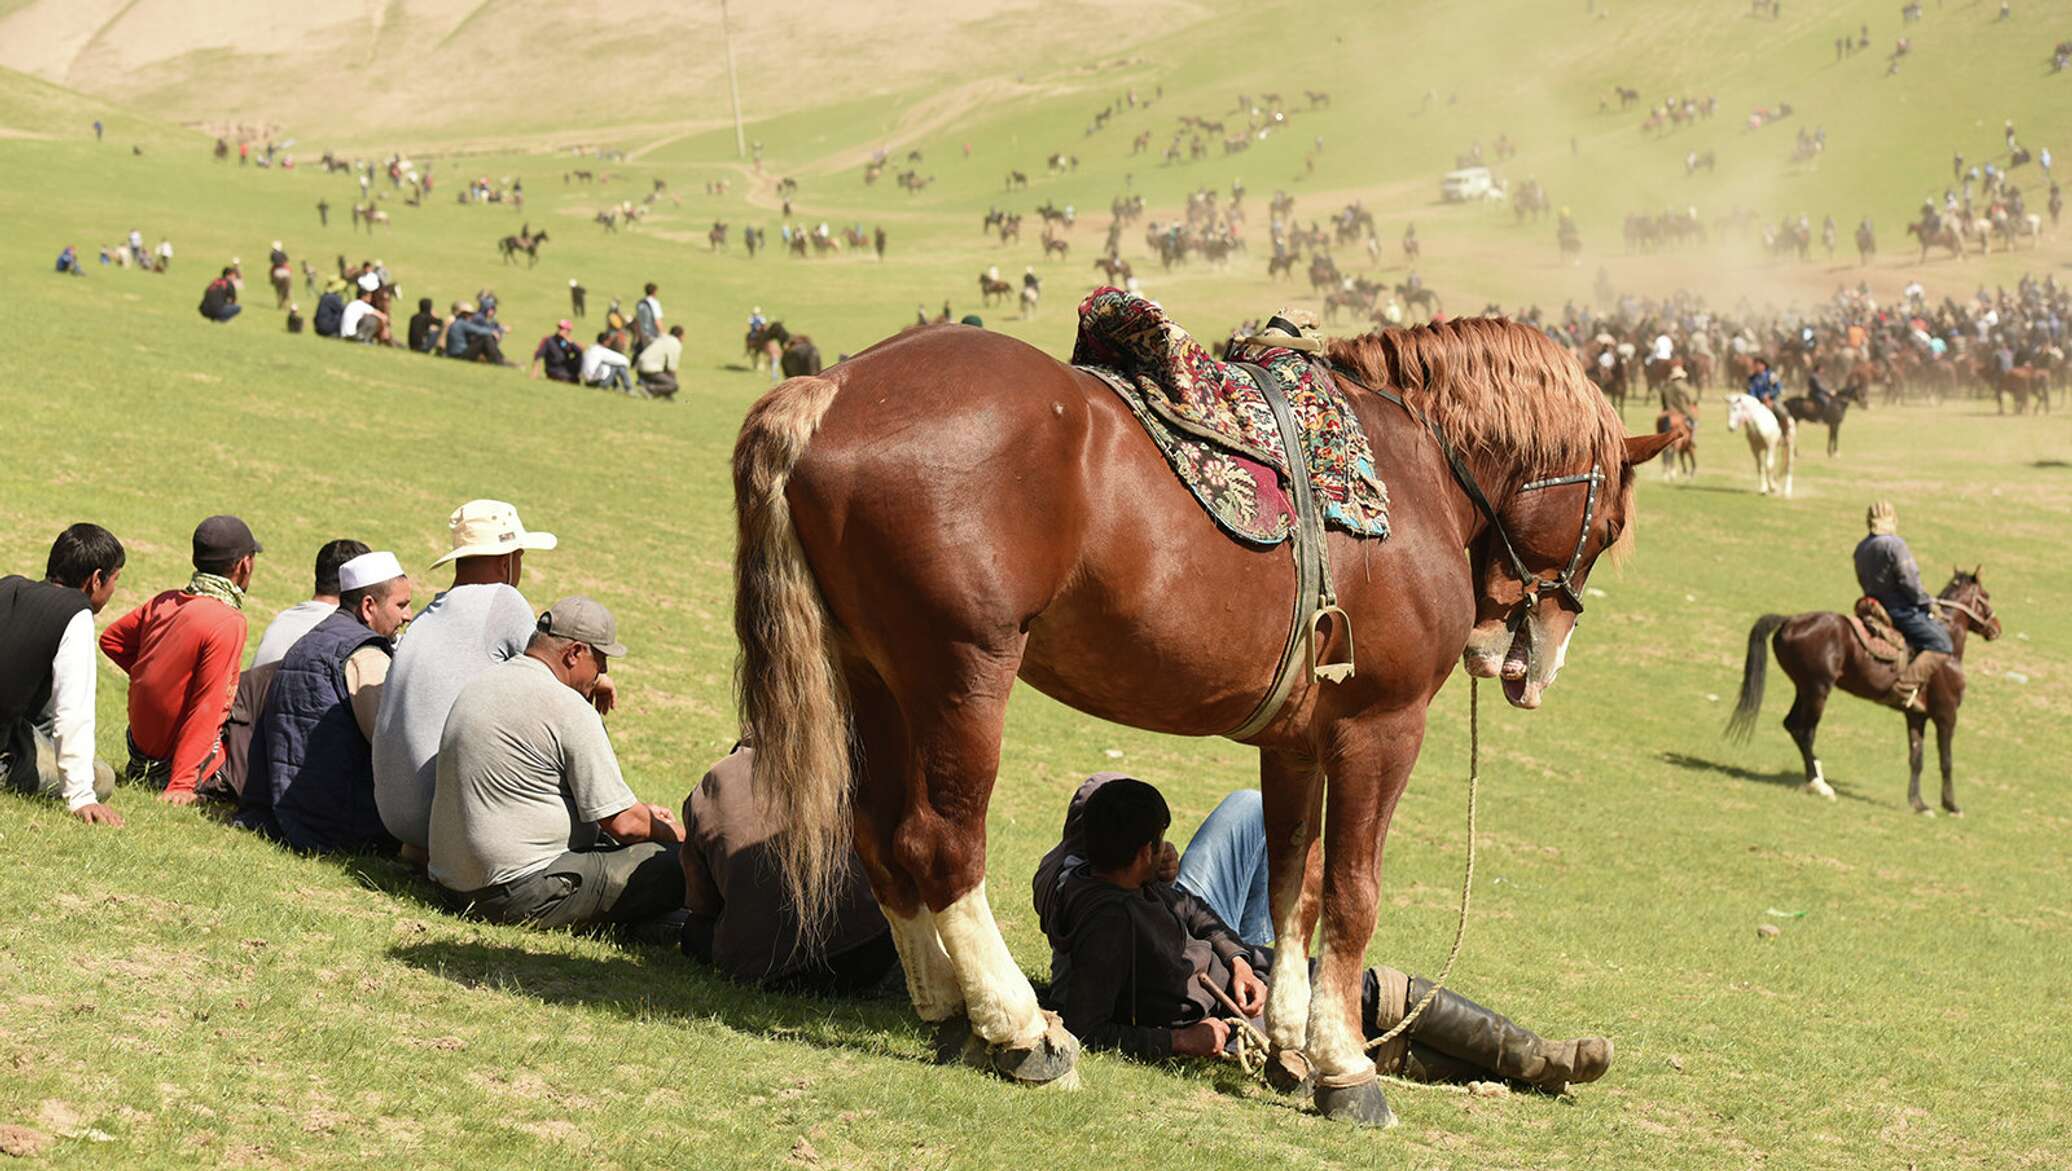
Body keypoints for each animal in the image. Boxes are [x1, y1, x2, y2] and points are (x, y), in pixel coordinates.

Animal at [737, 315, 1674, 1119]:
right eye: (1610, 523)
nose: (1531, 664)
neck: (1409, 466)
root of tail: (832, 388)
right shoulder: (1382, 728)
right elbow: (1355, 891)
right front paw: (1346, 1067)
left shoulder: (1297, 740)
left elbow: (1296, 883)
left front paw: (1289, 1044)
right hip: (962, 673)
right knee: (940, 844)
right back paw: (1022, 1030)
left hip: (875, 676)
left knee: (877, 835)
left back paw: (949, 1012)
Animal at [1723, 567, 1997, 812]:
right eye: (1986, 595)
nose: (1996, 626)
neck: (1948, 652)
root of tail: (1790, 620)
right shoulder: (1946, 715)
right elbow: (1946, 761)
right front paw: (1951, 805)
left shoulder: (1915, 715)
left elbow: (1916, 759)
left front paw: (1918, 804)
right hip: (1818, 689)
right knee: (1804, 731)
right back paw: (1820, 784)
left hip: (1805, 688)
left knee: (1792, 725)